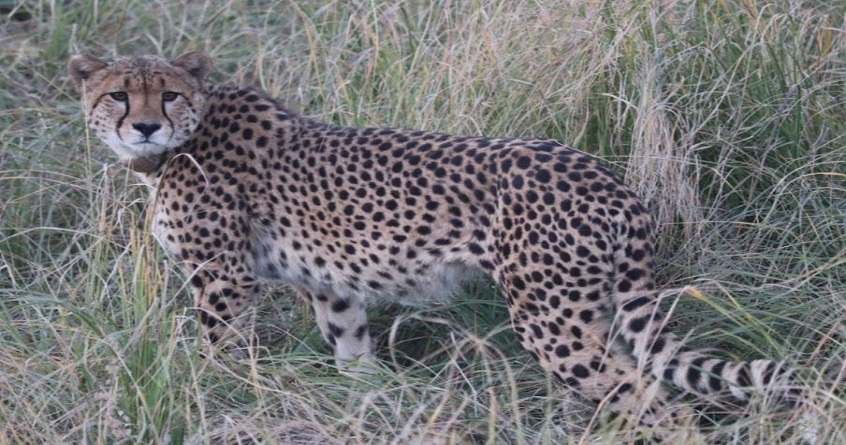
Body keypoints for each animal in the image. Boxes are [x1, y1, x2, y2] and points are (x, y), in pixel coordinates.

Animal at [67, 51, 801, 439]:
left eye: (167, 93)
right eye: (117, 94)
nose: (143, 126)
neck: (178, 146)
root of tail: (607, 176)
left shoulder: (222, 276)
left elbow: (213, 352)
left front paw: (205, 393)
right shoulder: (330, 283)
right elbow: (352, 351)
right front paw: (365, 403)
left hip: (551, 318)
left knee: (651, 396)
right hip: (591, 307)